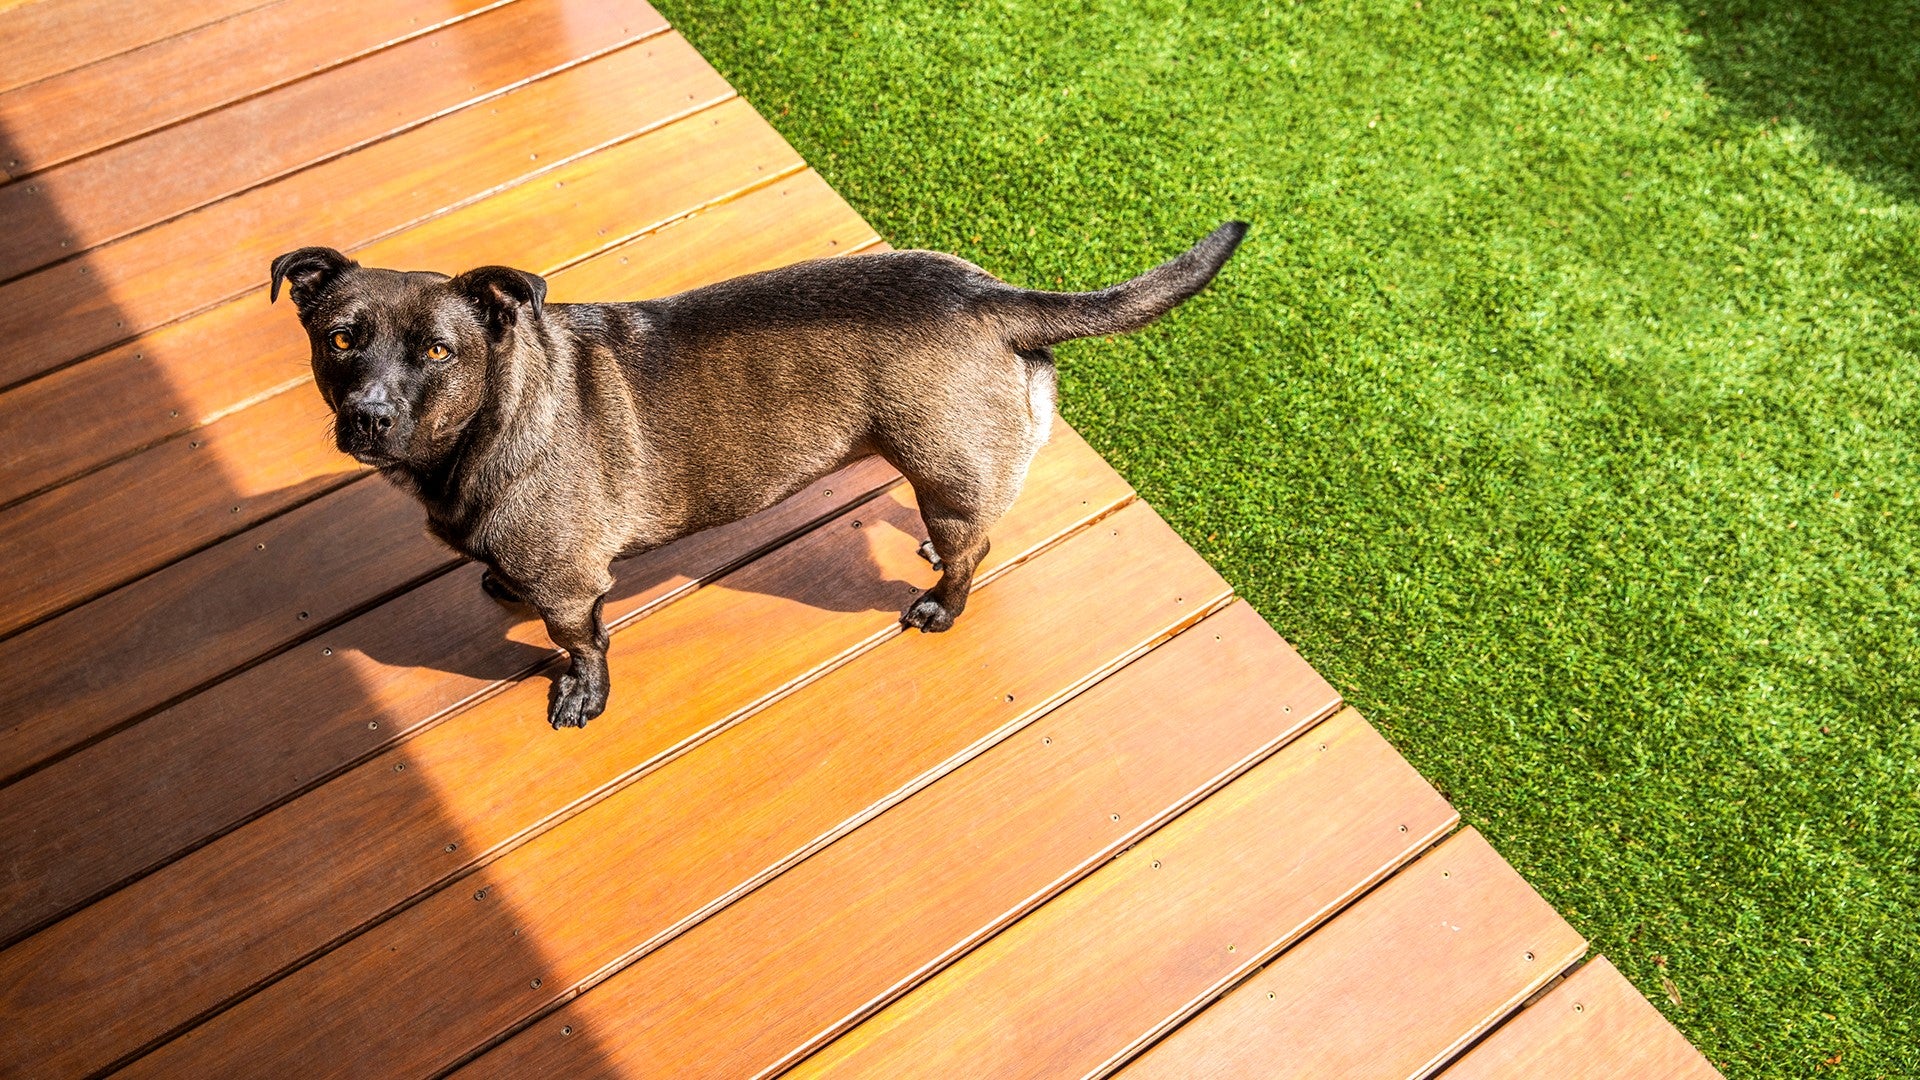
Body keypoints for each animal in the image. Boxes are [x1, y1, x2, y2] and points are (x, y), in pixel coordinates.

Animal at [278, 220, 1251, 726]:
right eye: (341, 339)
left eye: (440, 352)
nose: (369, 415)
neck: (488, 420)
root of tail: (993, 296)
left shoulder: (571, 588)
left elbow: (582, 643)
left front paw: (582, 695)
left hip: (943, 474)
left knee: (970, 554)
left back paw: (941, 604)